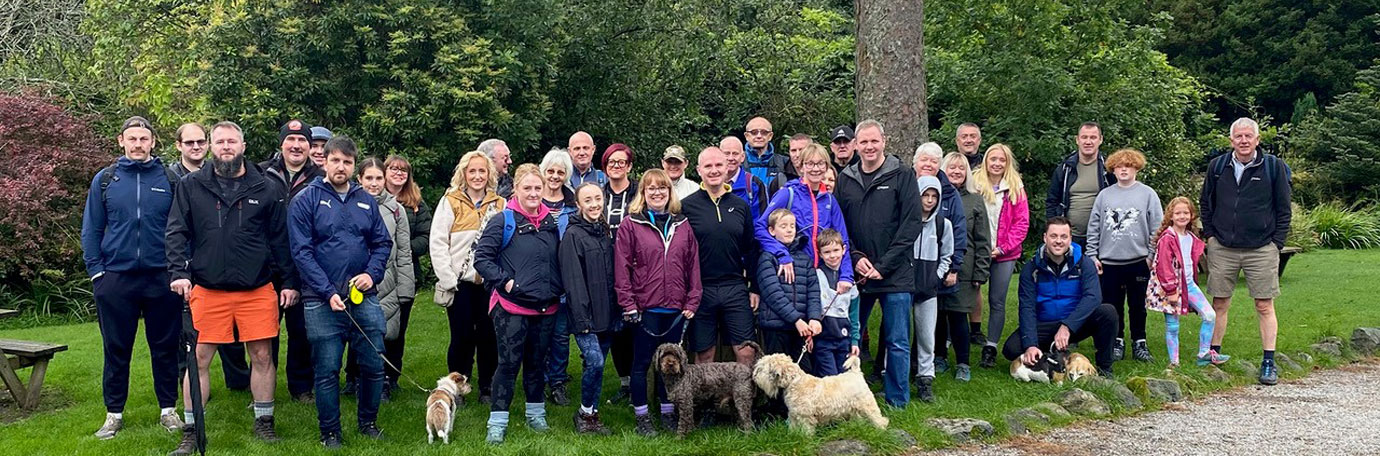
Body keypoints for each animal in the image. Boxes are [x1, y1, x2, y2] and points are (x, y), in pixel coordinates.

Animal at [750, 352, 888, 433]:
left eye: (761, 368)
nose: (754, 376)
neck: (794, 382)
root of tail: (855, 372)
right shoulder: (794, 414)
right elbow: (793, 428)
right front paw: (793, 436)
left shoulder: (805, 417)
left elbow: (806, 431)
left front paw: (805, 439)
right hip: (854, 408)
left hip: (868, 405)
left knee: (878, 418)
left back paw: (881, 428)